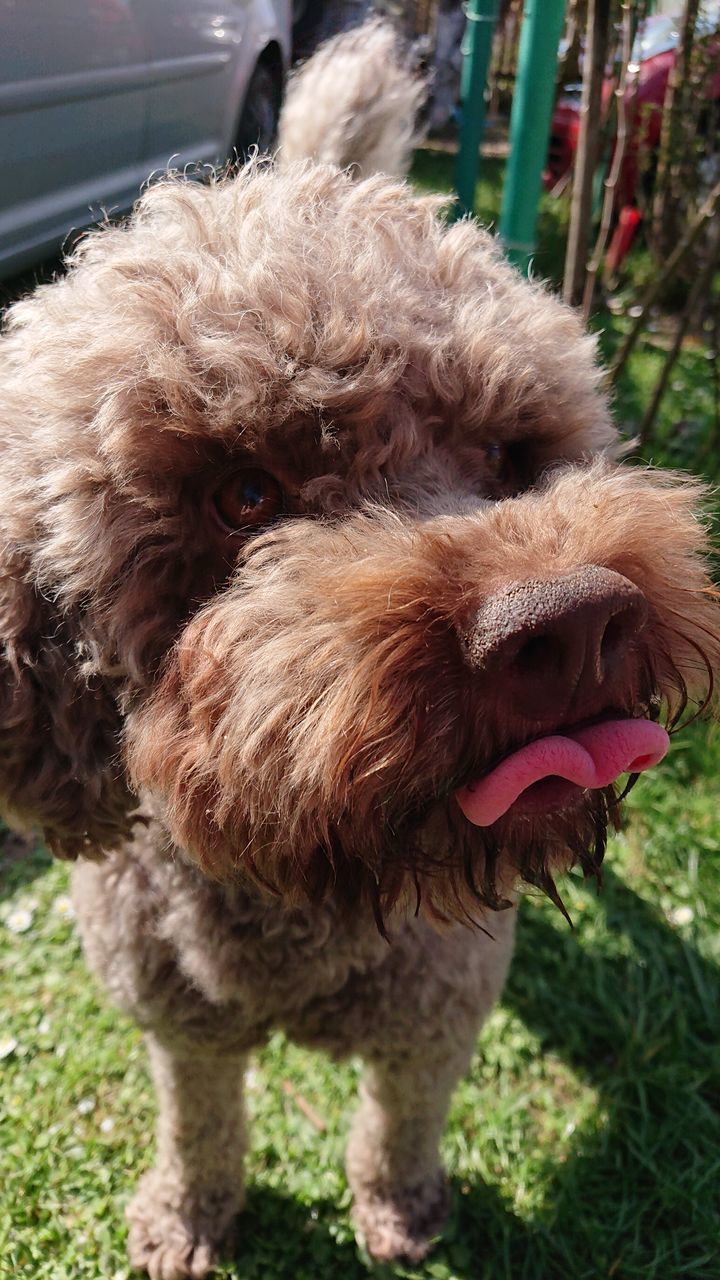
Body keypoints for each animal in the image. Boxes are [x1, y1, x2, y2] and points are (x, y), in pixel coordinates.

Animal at [1, 17, 717, 1280]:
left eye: (511, 455)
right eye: (244, 494)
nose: (570, 619)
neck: (308, 881)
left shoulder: (439, 1007)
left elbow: (401, 1117)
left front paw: (403, 1210)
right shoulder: (179, 1023)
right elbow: (199, 1120)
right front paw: (189, 1216)